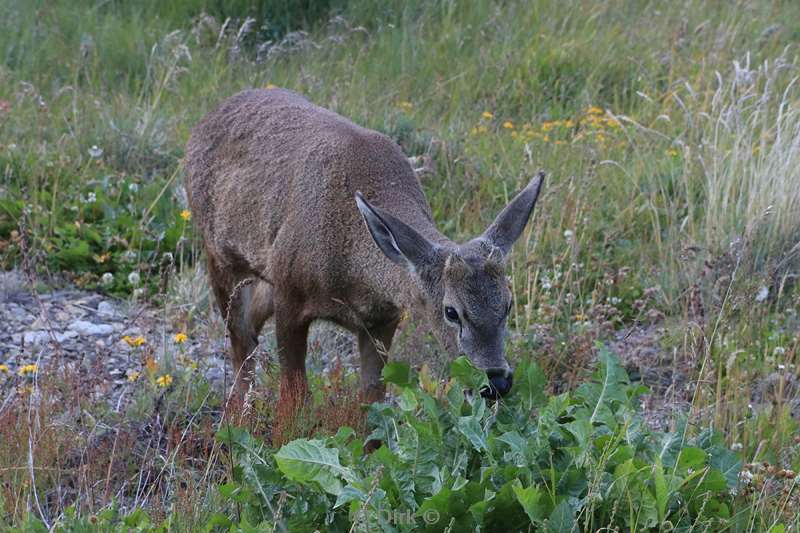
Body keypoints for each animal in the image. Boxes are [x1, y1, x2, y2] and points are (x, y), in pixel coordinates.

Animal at [183, 89, 544, 410]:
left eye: (508, 304)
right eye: (451, 311)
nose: (496, 382)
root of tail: (205, 120)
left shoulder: (382, 319)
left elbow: (372, 398)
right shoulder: (290, 293)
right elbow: (294, 396)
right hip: (220, 257)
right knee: (240, 343)